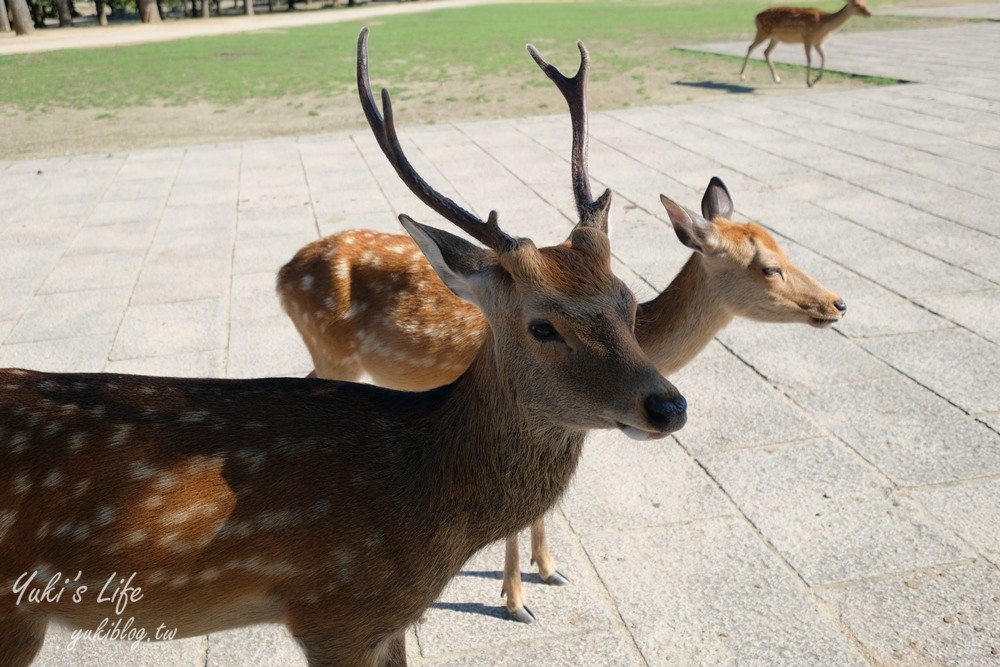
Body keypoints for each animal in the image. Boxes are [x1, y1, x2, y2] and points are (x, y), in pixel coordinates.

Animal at [278, 180, 848, 624]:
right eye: (768, 268)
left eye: (782, 246)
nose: (837, 303)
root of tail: (282, 272)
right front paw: (516, 602)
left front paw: (550, 570)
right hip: (333, 352)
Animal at [740, 0, 872, 87]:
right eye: (857, 4)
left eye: (865, 2)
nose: (869, 13)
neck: (824, 25)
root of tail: (755, 17)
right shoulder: (808, 37)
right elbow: (809, 59)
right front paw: (809, 82)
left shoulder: (818, 42)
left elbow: (824, 57)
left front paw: (815, 80)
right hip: (763, 31)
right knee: (750, 47)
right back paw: (742, 76)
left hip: (775, 37)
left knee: (766, 52)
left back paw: (777, 79)